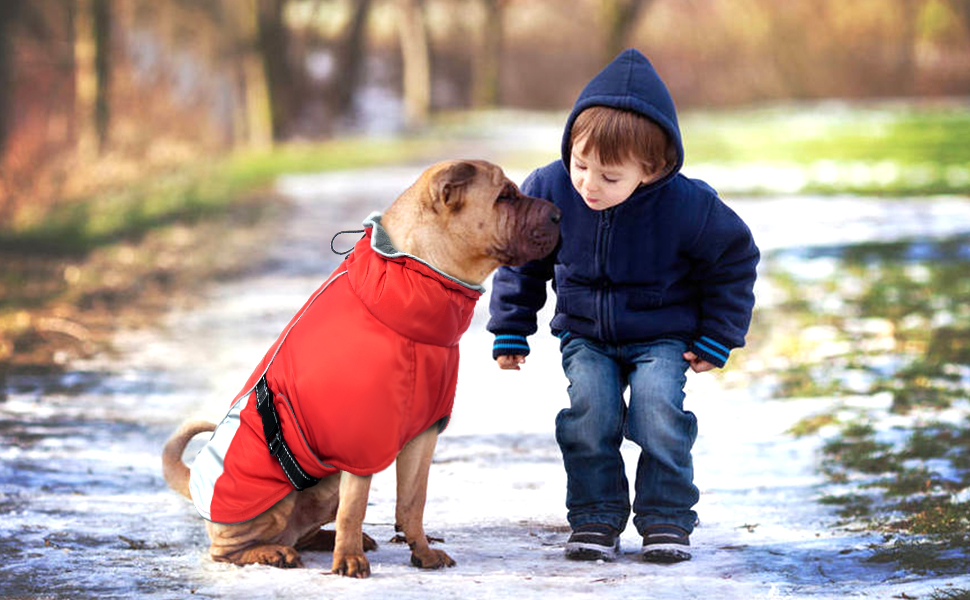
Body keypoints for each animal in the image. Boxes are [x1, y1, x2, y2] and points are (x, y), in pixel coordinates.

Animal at [162, 158, 560, 576]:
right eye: (505, 196)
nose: (559, 213)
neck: (416, 279)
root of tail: (193, 482)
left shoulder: (425, 432)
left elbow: (413, 502)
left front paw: (422, 552)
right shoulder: (361, 440)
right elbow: (356, 505)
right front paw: (350, 560)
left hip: (325, 486)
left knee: (302, 530)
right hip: (275, 498)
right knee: (226, 550)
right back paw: (272, 552)